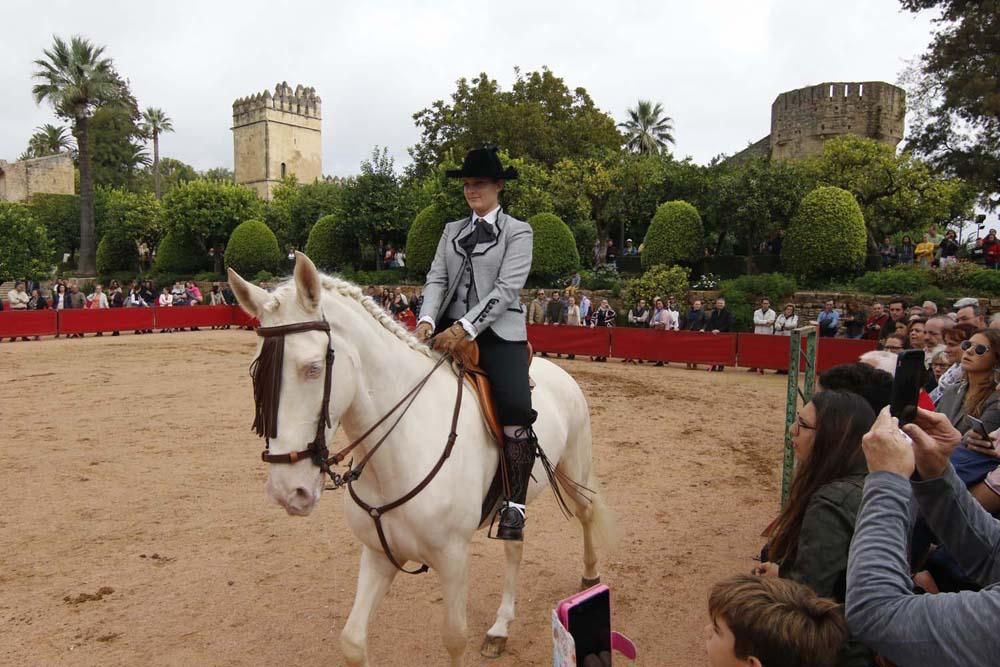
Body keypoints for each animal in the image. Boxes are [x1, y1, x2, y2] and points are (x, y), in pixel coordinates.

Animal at [229, 252, 612, 667]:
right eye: (256, 373)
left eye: (313, 368)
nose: (288, 491)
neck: (399, 451)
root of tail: (556, 369)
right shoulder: (378, 554)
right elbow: (352, 641)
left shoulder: (453, 558)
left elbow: (454, 638)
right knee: (515, 545)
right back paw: (500, 627)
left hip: (574, 467)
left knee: (588, 512)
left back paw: (590, 578)